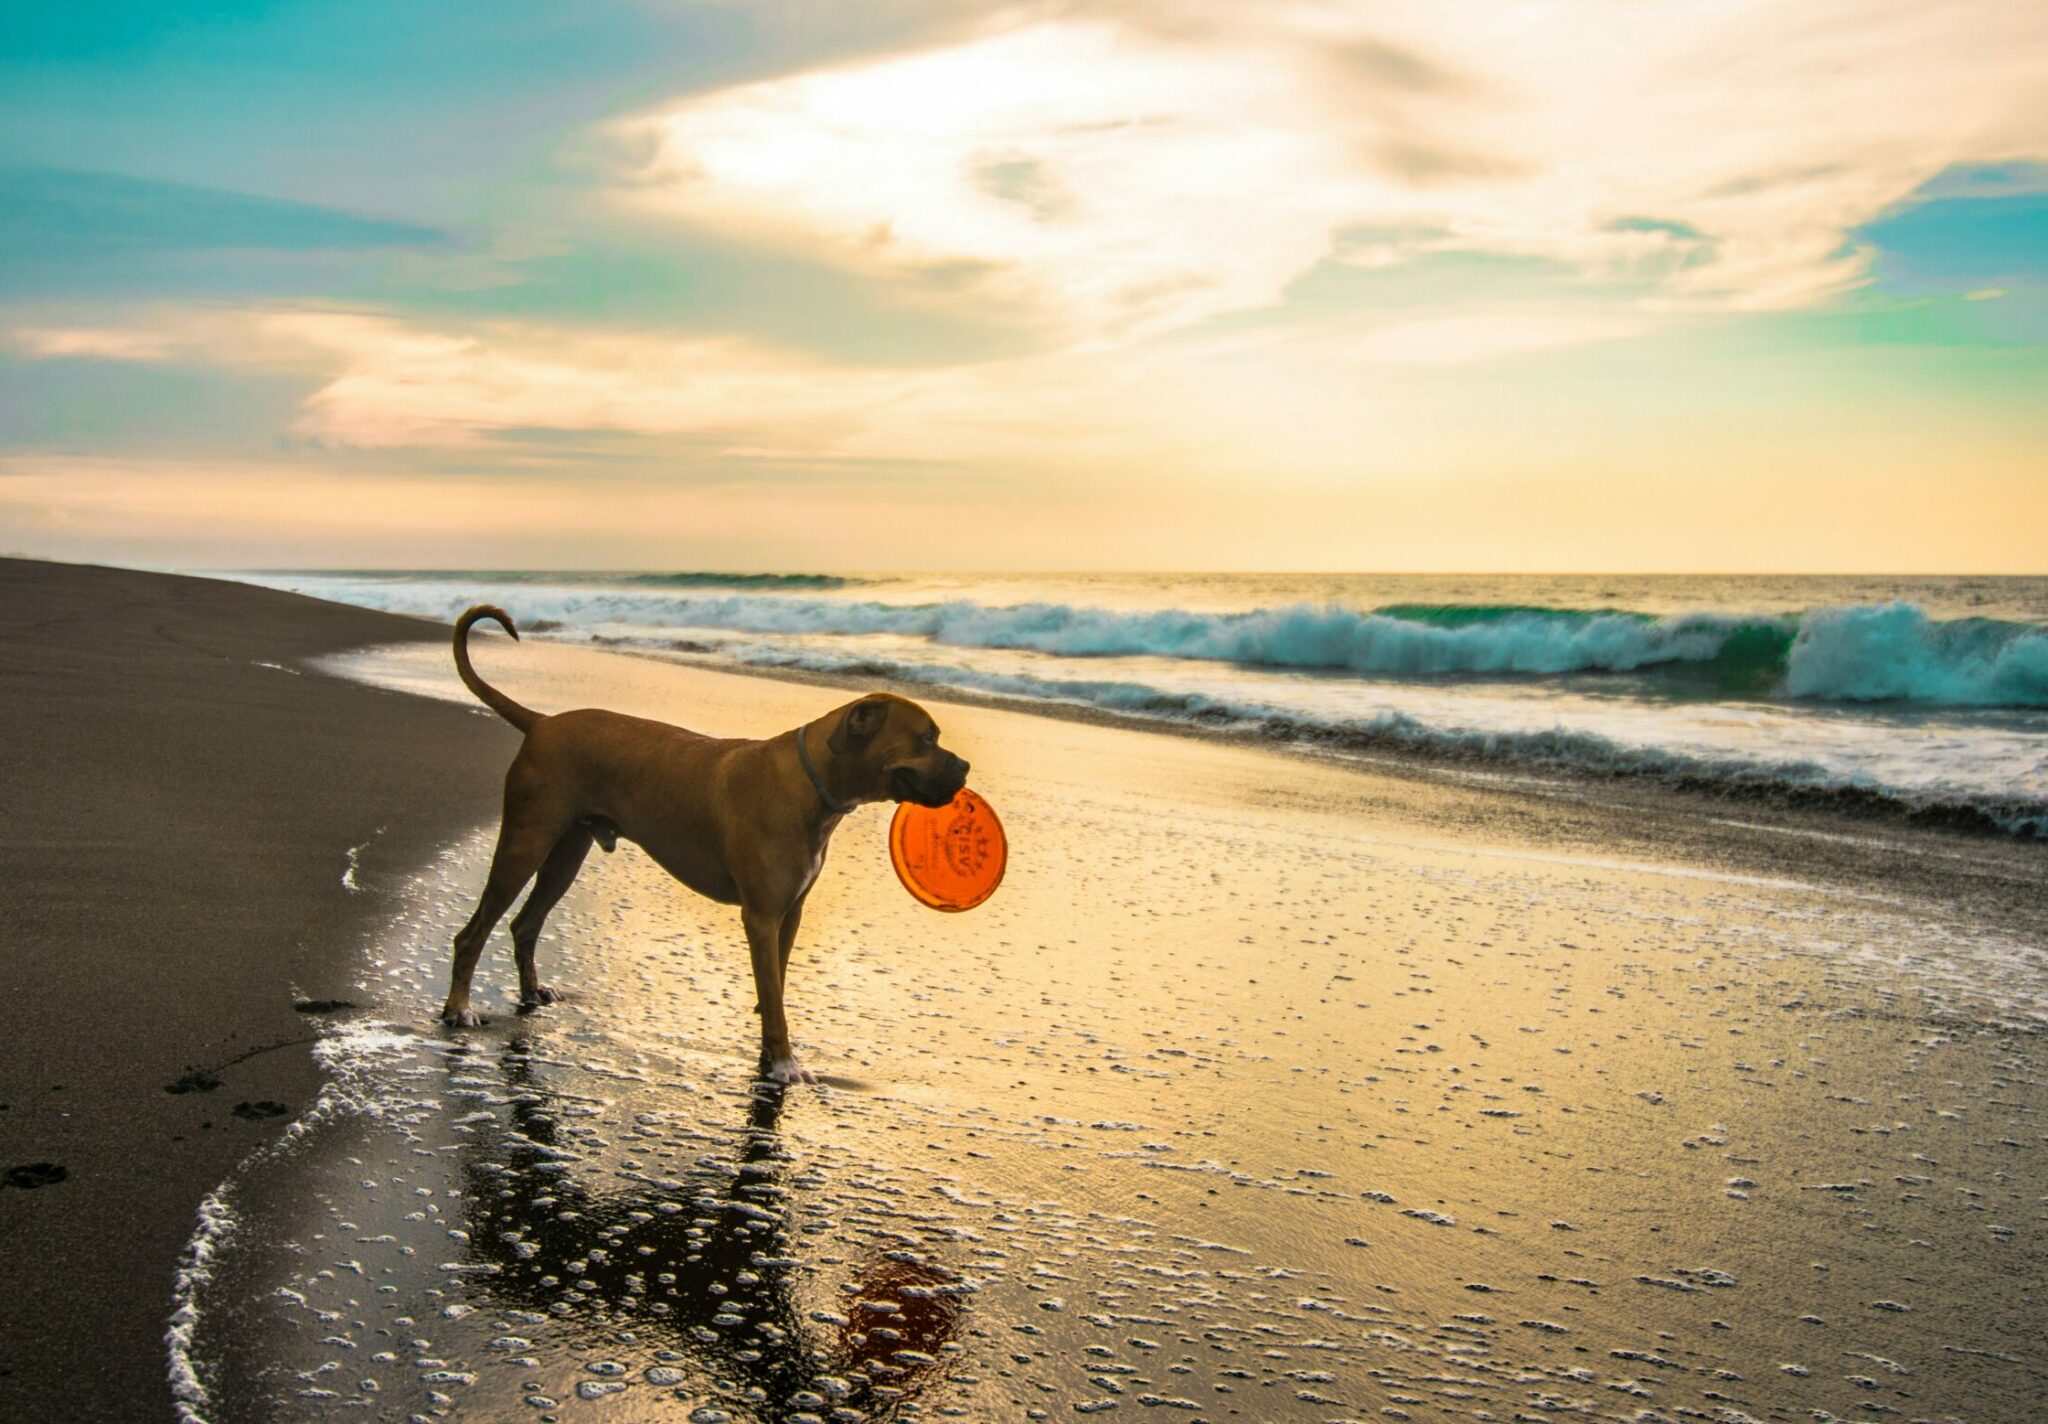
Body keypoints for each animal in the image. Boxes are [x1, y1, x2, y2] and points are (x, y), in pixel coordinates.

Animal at [440, 606, 966, 1090]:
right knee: (473, 933)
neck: (812, 782)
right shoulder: (762, 917)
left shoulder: (789, 915)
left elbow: (774, 987)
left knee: (525, 924)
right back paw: (458, 1009)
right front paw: (783, 1063)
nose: (965, 768)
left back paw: (530, 992)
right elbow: (773, 995)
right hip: (525, 843)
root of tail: (542, 722)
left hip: (566, 852)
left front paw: (770, 1053)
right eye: (926, 737)